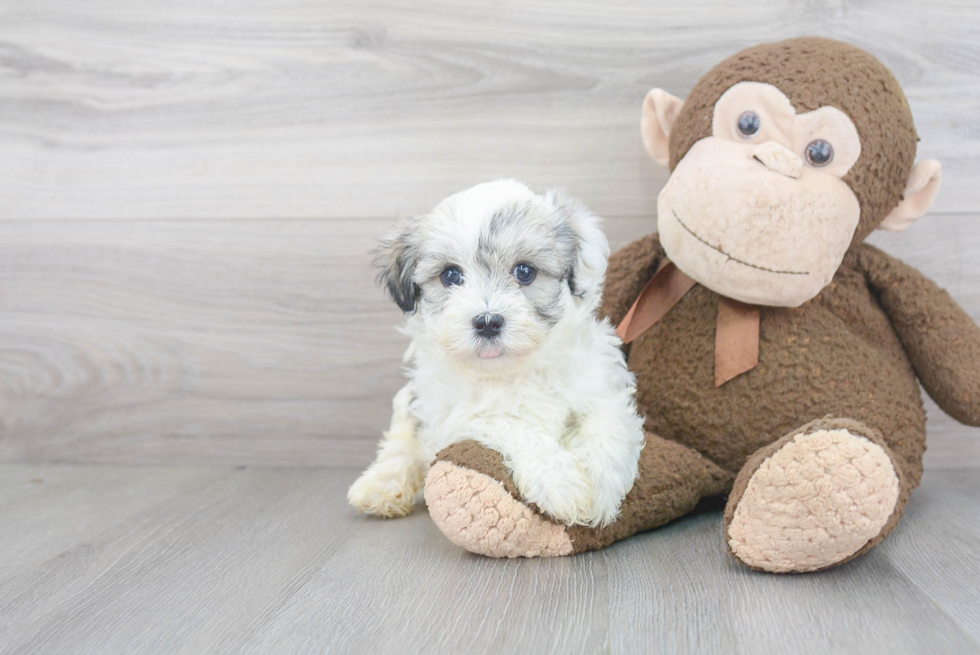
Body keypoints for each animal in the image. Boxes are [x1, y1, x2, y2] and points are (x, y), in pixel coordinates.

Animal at [348, 179, 648, 528]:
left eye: (525, 272)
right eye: (451, 275)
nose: (488, 322)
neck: (511, 371)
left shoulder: (600, 387)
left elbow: (607, 425)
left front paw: (602, 486)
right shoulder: (455, 415)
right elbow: (512, 426)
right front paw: (559, 481)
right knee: (401, 446)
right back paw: (381, 486)